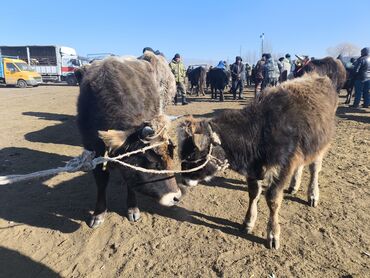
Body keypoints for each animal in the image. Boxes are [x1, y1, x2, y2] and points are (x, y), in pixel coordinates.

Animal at [77, 51, 181, 228]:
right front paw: (98, 213)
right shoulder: (94, 152)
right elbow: (101, 183)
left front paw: (132, 208)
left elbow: (130, 183)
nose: (176, 197)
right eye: (153, 163)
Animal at [177, 73, 338, 249]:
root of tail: (319, 77)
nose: (183, 180)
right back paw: (294, 186)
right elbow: (253, 194)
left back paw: (313, 195)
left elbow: (273, 199)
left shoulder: (282, 168)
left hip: (320, 146)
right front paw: (248, 221)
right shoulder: (254, 171)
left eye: (192, 154)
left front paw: (273, 234)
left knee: (315, 170)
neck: (259, 131)